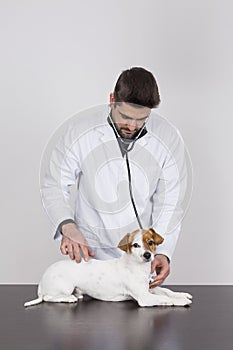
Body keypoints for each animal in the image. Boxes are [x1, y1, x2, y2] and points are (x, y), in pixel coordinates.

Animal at [23, 228, 192, 308]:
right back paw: (69, 298)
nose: (147, 255)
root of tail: (41, 284)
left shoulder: (150, 288)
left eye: (150, 242)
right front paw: (181, 301)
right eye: (135, 245)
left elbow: (167, 291)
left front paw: (182, 294)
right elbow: (165, 298)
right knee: (49, 297)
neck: (137, 267)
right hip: (63, 287)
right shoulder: (144, 297)